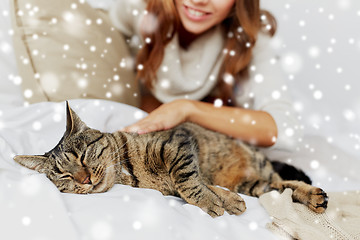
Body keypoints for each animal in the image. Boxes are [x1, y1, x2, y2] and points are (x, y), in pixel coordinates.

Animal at [14, 101, 330, 218]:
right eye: (64, 176)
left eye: (81, 157)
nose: (85, 179)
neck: (129, 172)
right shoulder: (174, 183)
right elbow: (196, 186)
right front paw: (223, 200)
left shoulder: (178, 143)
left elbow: (188, 180)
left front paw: (214, 201)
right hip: (254, 185)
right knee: (281, 188)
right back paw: (311, 196)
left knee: (283, 181)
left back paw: (315, 194)